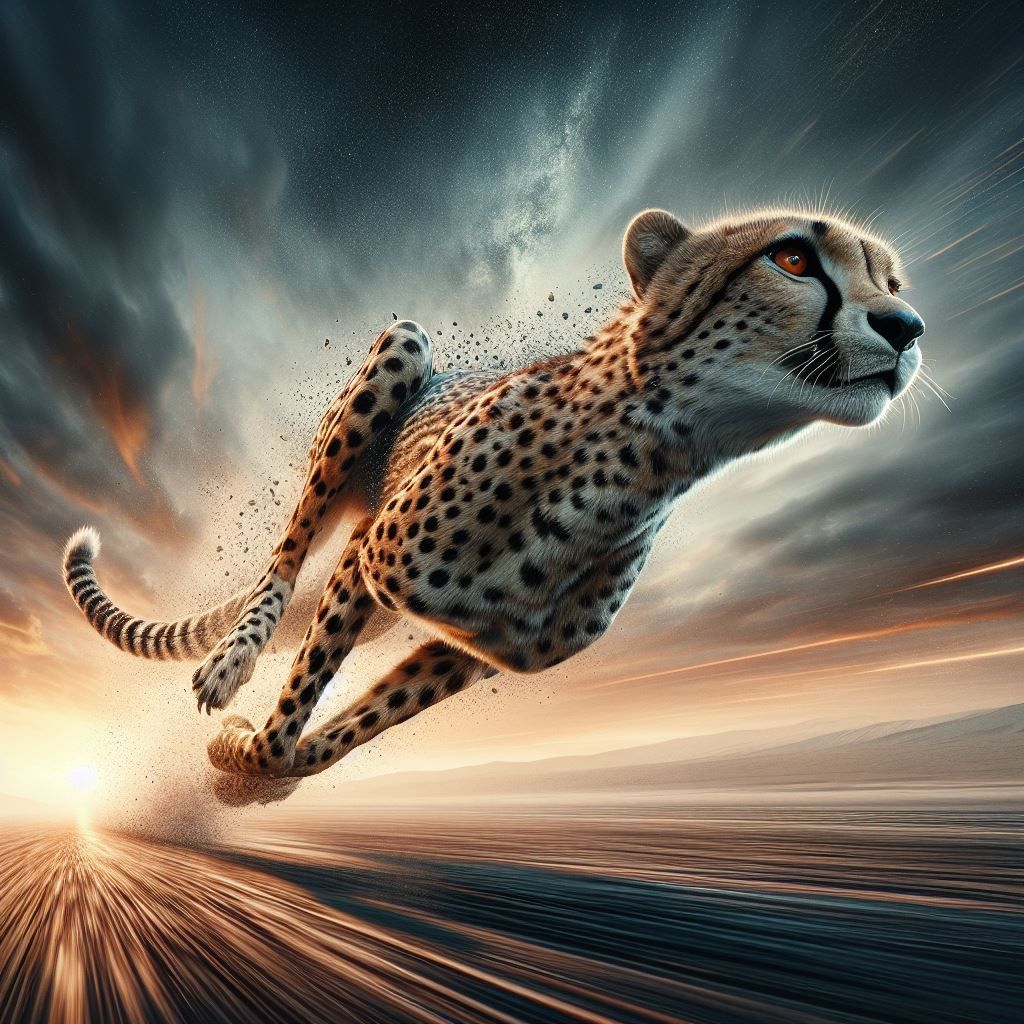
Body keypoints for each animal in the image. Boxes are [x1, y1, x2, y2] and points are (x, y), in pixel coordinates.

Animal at [62, 205, 925, 803]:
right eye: (793, 257)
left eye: (892, 282)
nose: (908, 325)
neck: (645, 464)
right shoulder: (369, 560)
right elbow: (298, 703)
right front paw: (242, 749)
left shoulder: (468, 651)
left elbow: (339, 733)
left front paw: (252, 774)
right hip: (398, 356)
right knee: (284, 562)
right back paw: (230, 661)